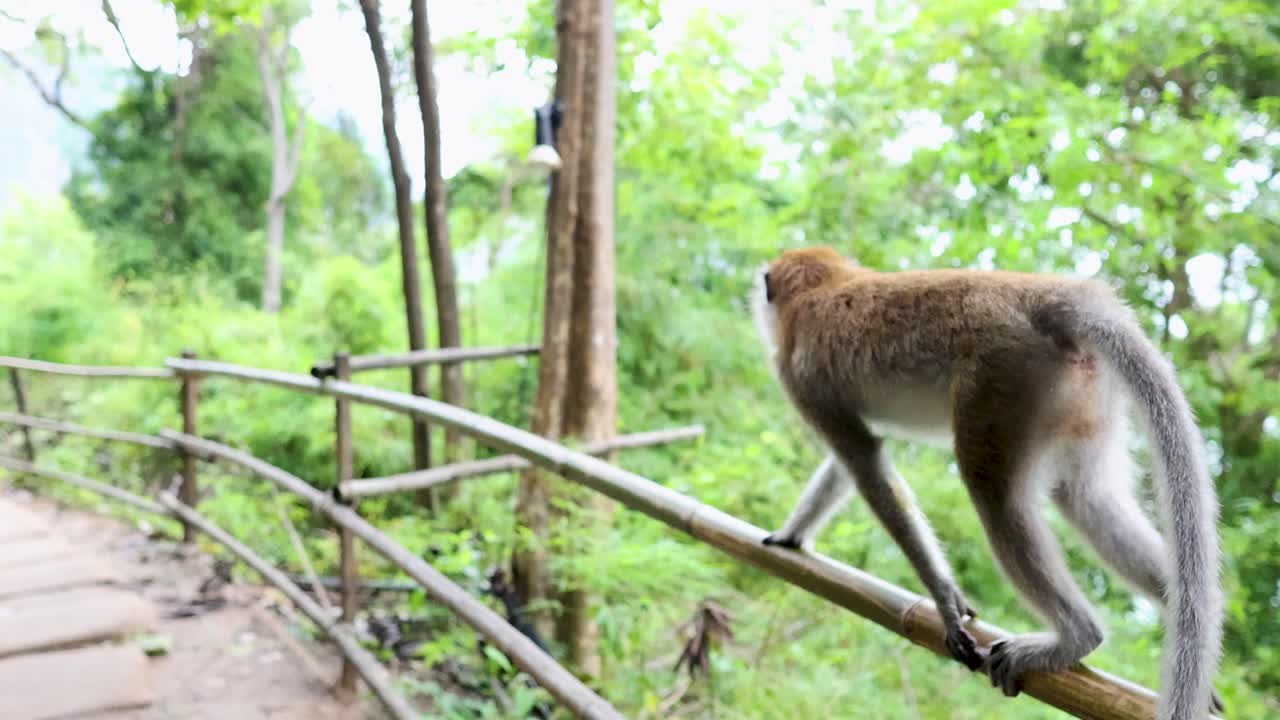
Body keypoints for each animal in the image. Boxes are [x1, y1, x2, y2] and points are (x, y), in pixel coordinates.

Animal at [751, 246, 1222, 720]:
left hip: (1004, 378)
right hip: (1083, 394)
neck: (824, 288)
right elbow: (857, 459)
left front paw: (943, 600)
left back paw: (1076, 636)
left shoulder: (798, 376)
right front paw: (791, 536)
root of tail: (1049, 295)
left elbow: (863, 460)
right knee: (1085, 496)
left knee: (992, 491)